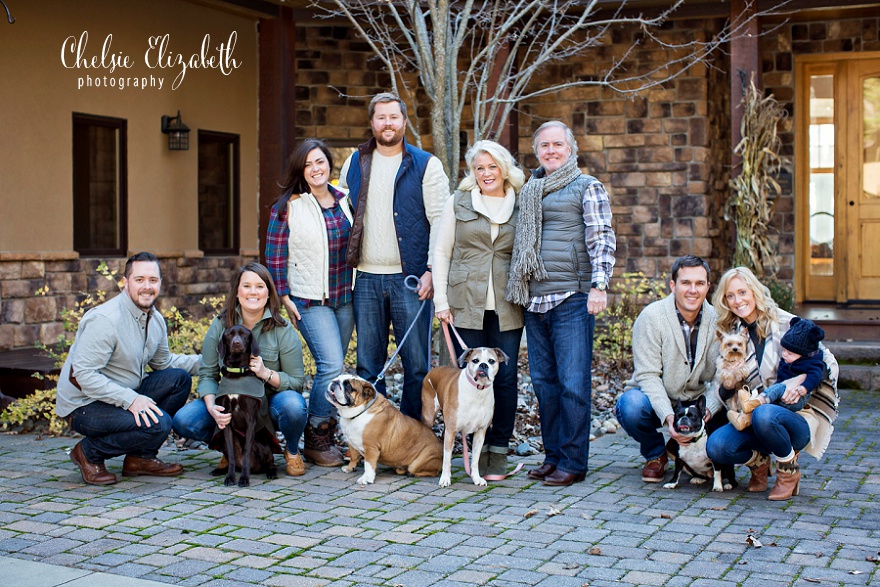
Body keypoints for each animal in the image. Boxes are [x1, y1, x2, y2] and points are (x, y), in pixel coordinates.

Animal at [420, 350, 508, 486]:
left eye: (491, 361)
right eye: (475, 360)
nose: (483, 365)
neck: (478, 391)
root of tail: (433, 370)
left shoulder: (480, 433)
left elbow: (475, 459)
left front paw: (476, 478)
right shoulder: (451, 431)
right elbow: (447, 459)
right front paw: (445, 478)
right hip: (429, 416)